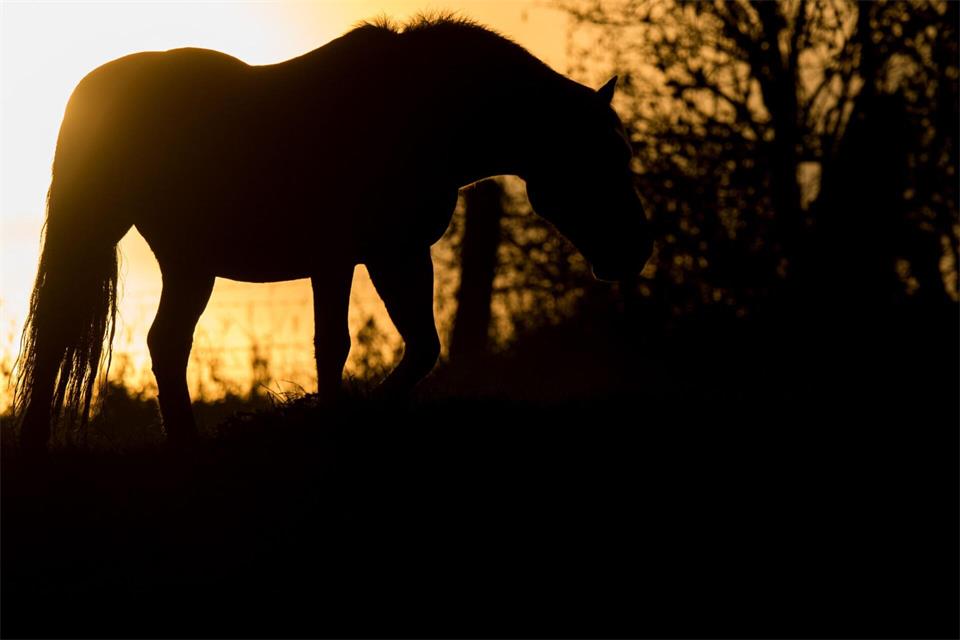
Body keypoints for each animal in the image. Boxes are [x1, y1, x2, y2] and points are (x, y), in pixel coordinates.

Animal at [14, 16, 654, 451]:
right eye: (599, 159)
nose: (636, 251)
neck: (426, 118)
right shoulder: (355, 257)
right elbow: (345, 346)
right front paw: (339, 421)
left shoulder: (392, 254)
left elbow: (409, 346)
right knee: (63, 336)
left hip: (189, 261)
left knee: (163, 344)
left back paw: (185, 445)